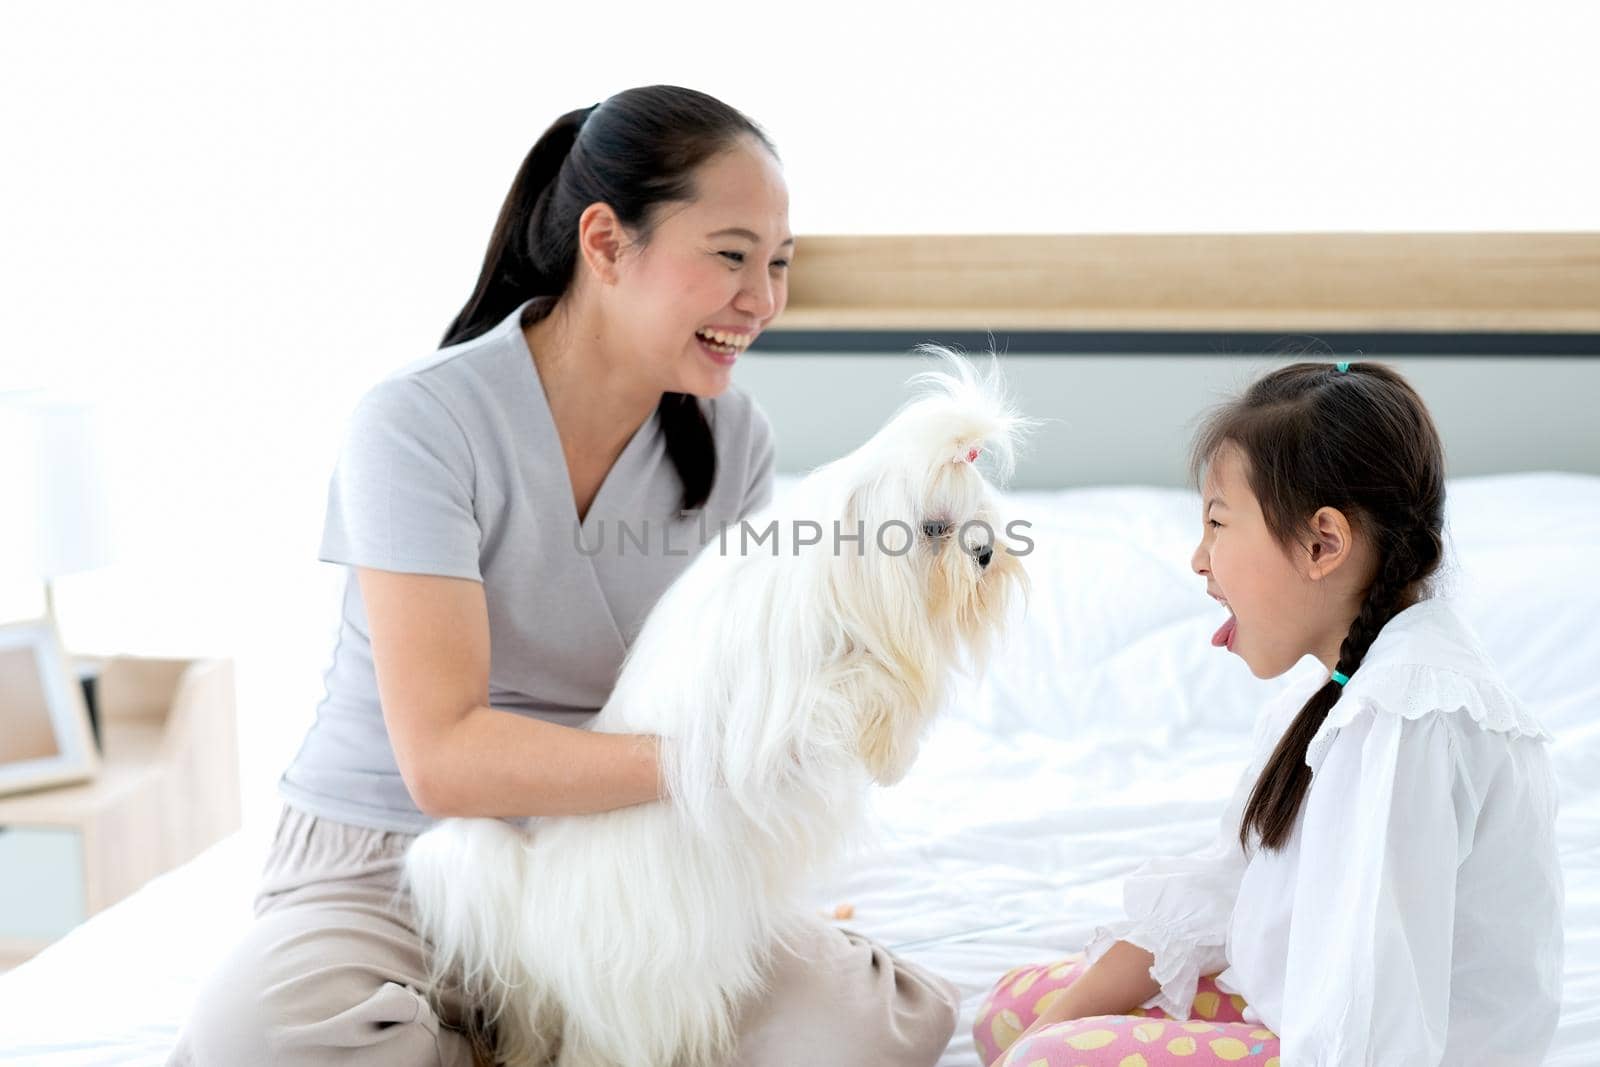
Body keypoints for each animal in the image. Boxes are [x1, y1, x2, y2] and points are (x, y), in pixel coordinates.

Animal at [396, 351, 1024, 1067]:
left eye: (984, 517)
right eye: (934, 528)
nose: (986, 552)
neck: (832, 577)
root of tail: (537, 914)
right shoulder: (780, 710)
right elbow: (862, 687)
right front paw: (891, 742)